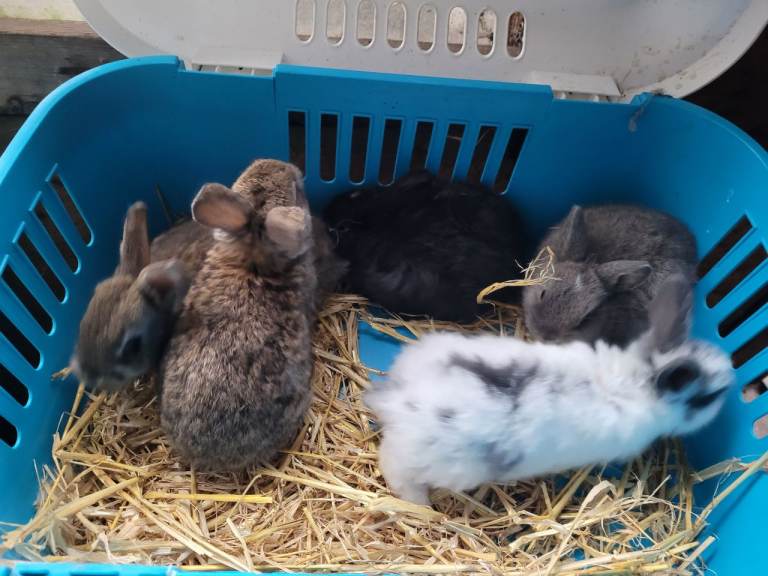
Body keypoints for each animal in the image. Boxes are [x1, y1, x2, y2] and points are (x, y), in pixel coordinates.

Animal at [365, 275, 733, 505]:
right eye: (708, 397)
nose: (731, 378)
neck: (636, 379)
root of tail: (398, 397)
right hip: (423, 463)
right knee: (396, 471)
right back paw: (422, 504)